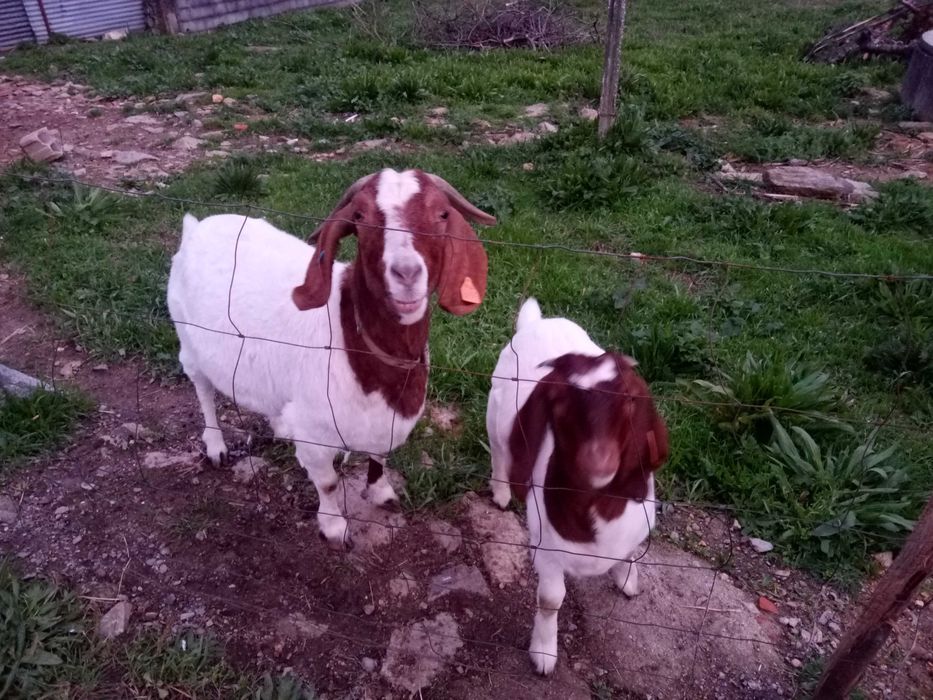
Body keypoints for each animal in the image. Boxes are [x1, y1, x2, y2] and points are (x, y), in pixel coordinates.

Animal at [167, 169, 495, 548]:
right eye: (360, 216)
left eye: (442, 214)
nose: (407, 273)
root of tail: (196, 227)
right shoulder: (316, 435)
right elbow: (327, 483)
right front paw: (335, 528)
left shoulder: (384, 422)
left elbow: (379, 457)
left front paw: (382, 493)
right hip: (187, 336)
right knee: (202, 388)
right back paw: (215, 445)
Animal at [486, 298, 669, 675]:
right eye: (558, 402)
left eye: (629, 400)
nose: (598, 461)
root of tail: (536, 322)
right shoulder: (547, 551)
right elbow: (550, 599)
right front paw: (544, 654)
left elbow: (629, 551)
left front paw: (627, 580)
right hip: (495, 411)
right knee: (498, 449)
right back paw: (500, 493)